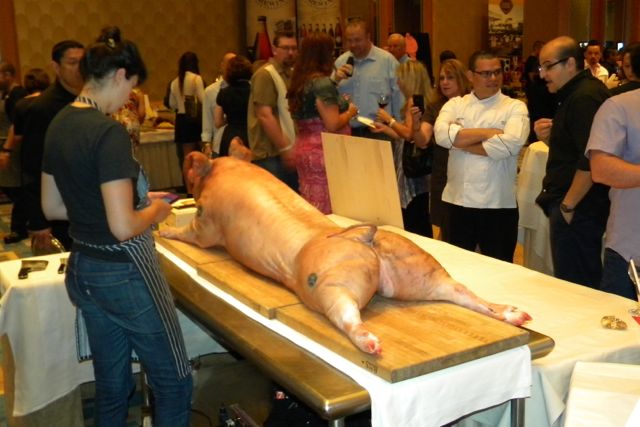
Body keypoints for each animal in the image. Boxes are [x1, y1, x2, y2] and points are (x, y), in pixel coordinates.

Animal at [160, 152, 531, 354]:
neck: (220, 171)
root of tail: (365, 239)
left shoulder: (207, 221)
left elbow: (192, 234)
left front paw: (163, 232)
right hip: (417, 272)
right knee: (461, 291)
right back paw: (517, 315)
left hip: (331, 285)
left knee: (347, 316)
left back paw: (371, 344)